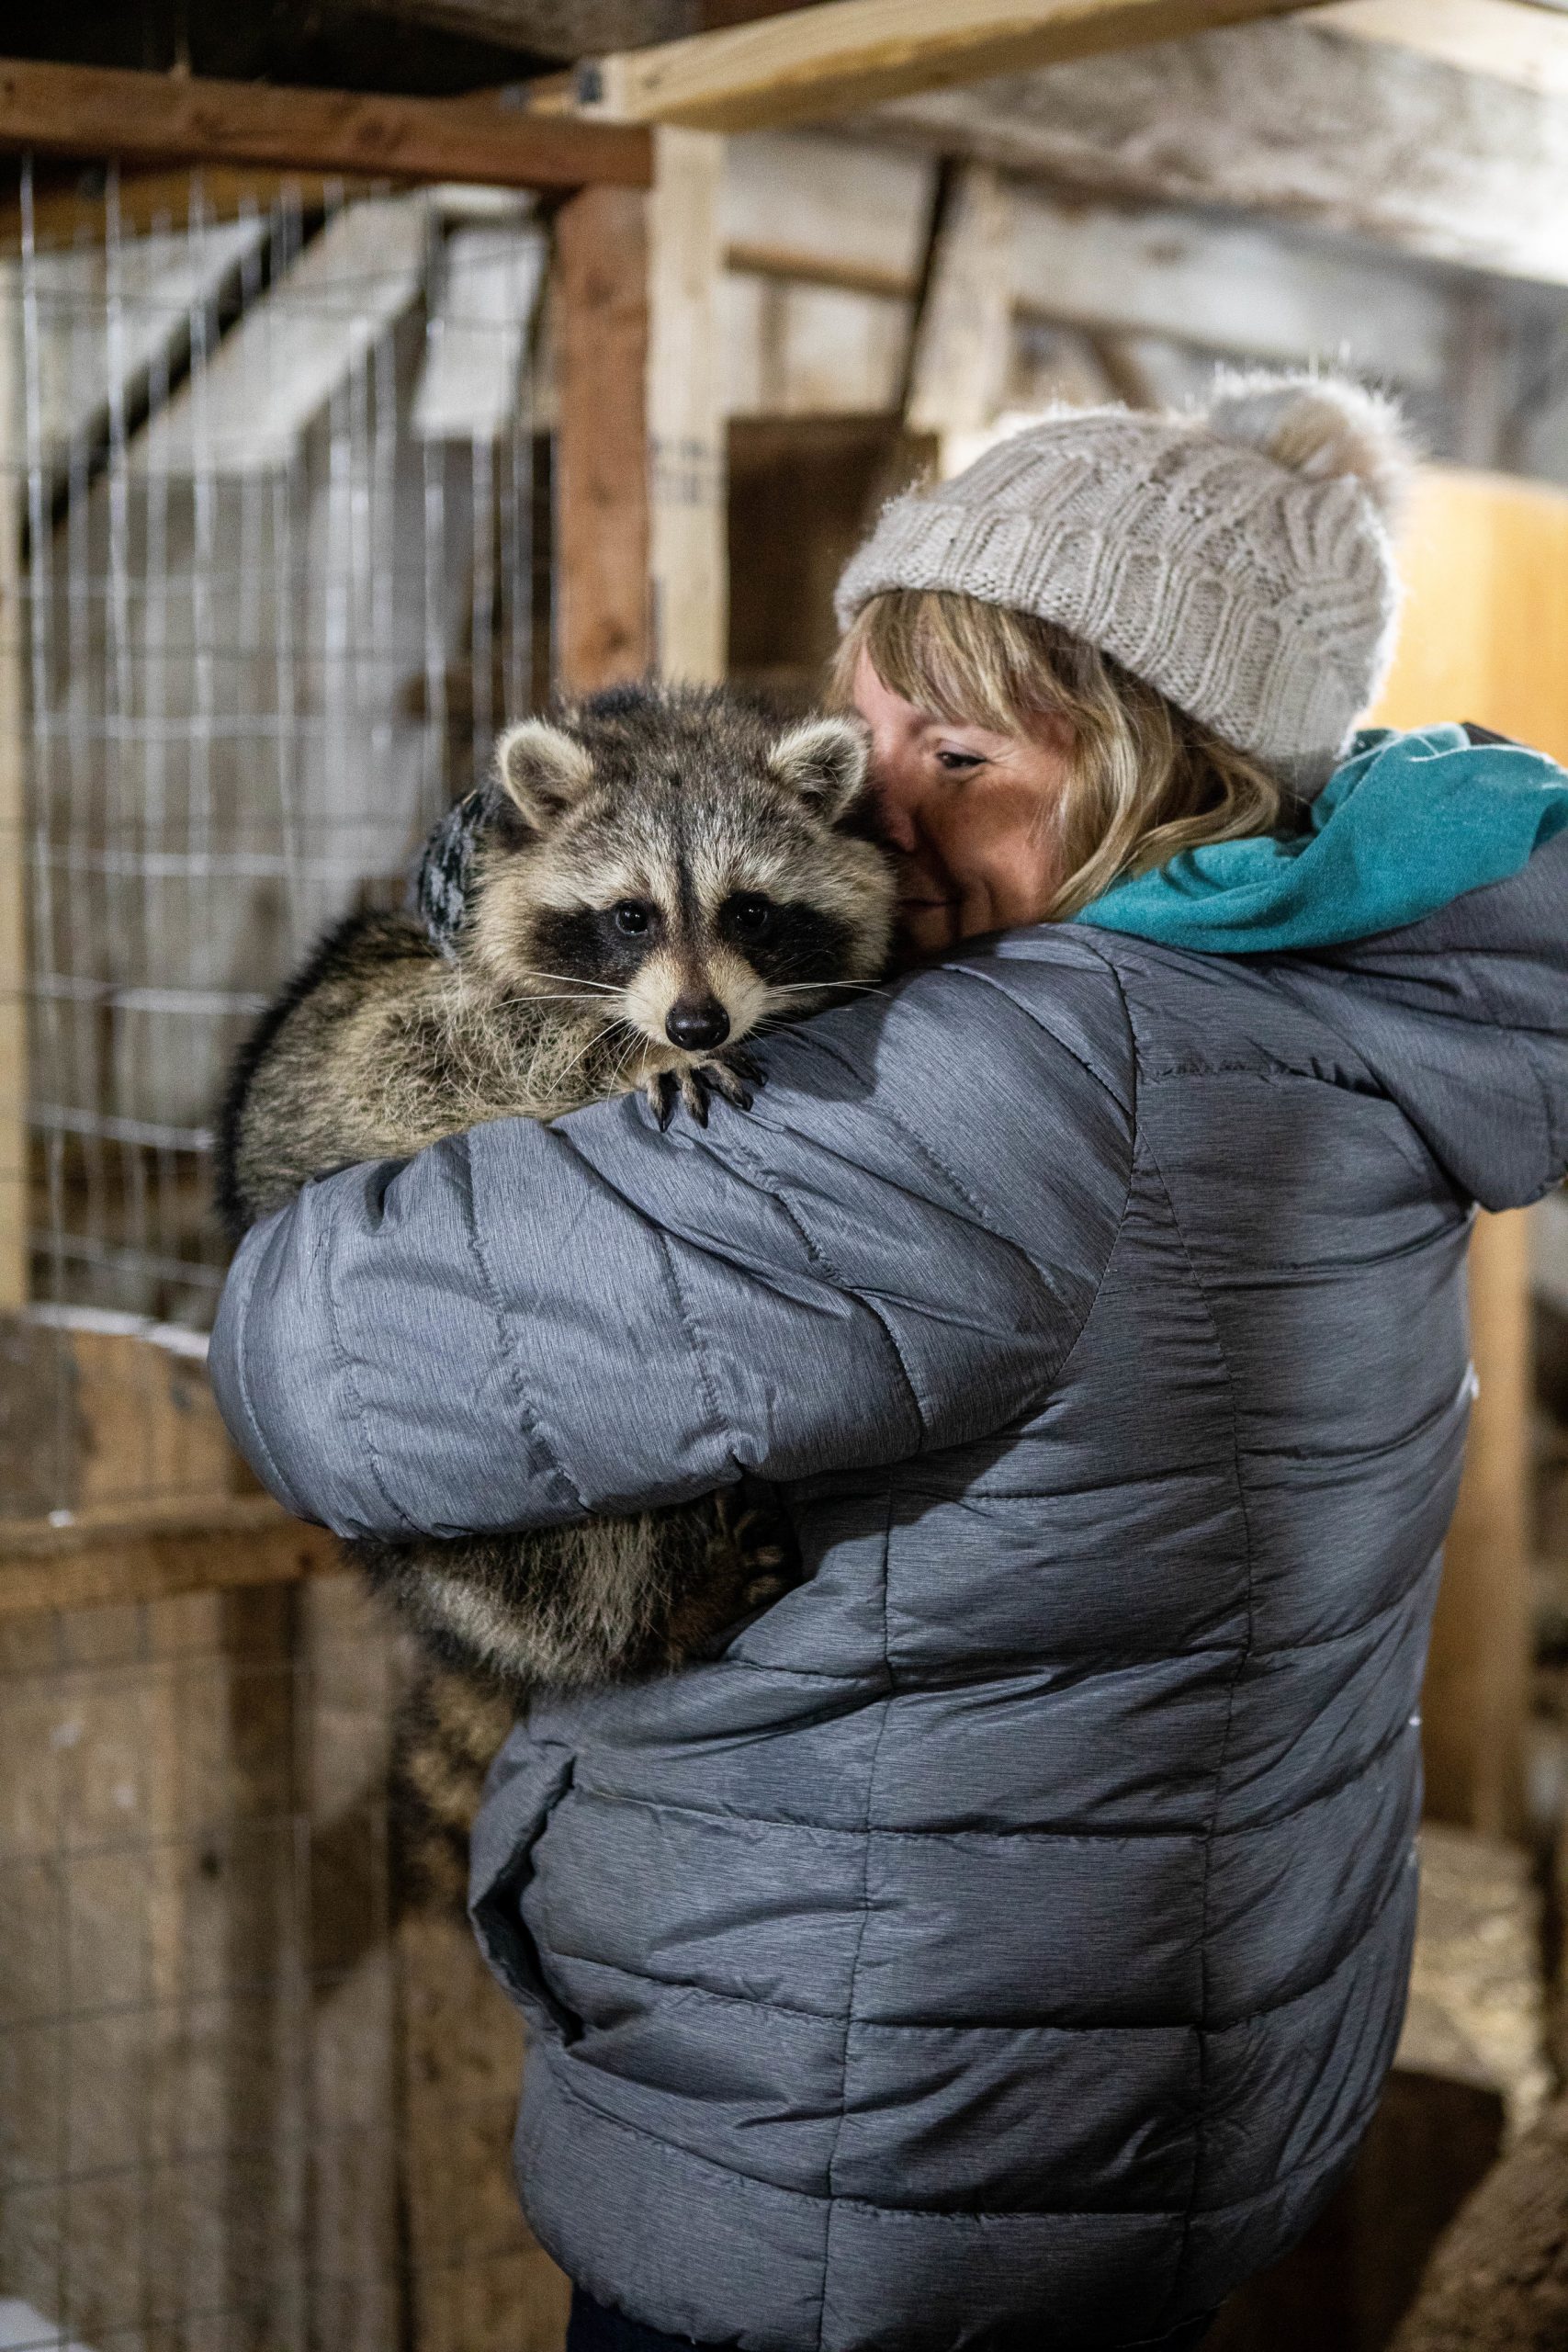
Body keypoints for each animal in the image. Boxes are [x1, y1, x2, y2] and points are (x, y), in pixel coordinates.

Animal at [217, 682, 893, 1909]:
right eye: (630, 917)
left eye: (752, 911)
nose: (694, 1025)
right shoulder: (390, 1028)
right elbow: (413, 1044)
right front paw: (617, 1054)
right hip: (459, 1543)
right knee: (561, 1567)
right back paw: (663, 1611)